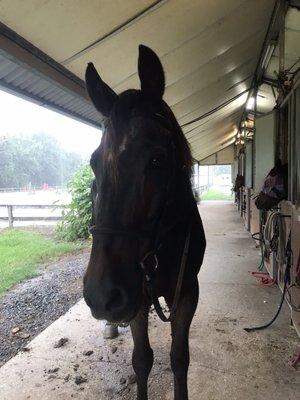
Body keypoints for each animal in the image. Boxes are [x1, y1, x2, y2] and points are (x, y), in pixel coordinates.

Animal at [84, 45, 206, 398]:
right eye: (94, 163)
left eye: (157, 160)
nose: (102, 294)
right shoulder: (136, 296)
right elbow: (142, 359)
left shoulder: (187, 291)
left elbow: (179, 357)